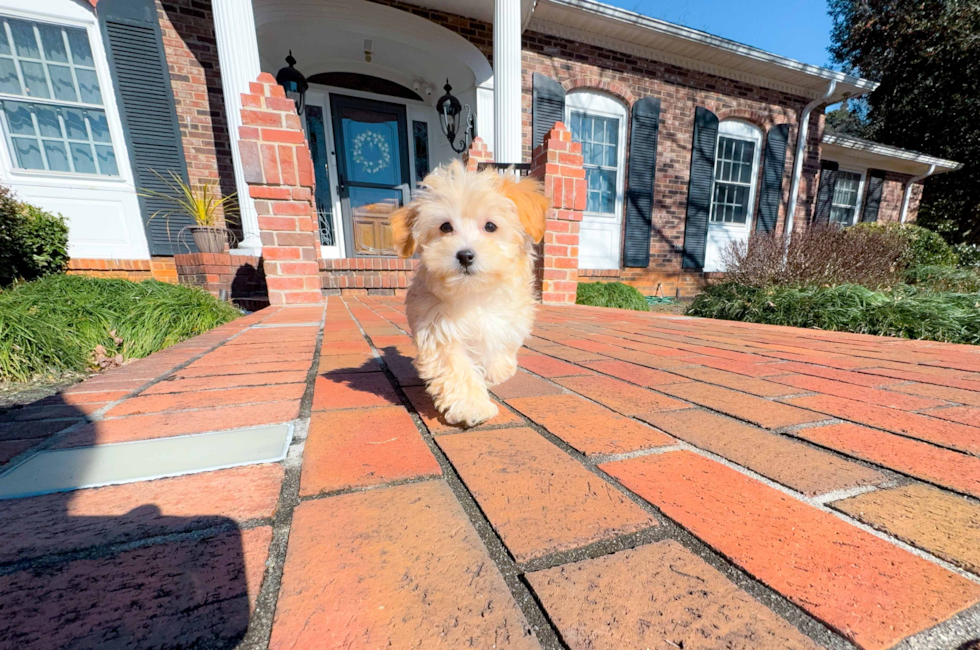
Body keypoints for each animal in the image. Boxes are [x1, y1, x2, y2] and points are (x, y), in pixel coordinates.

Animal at [390, 160, 548, 428]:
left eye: (491, 226)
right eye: (445, 227)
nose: (465, 255)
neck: (475, 293)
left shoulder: (508, 322)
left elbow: (500, 350)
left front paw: (498, 372)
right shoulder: (439, 330)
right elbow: (456, 368)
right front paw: (472, 407)